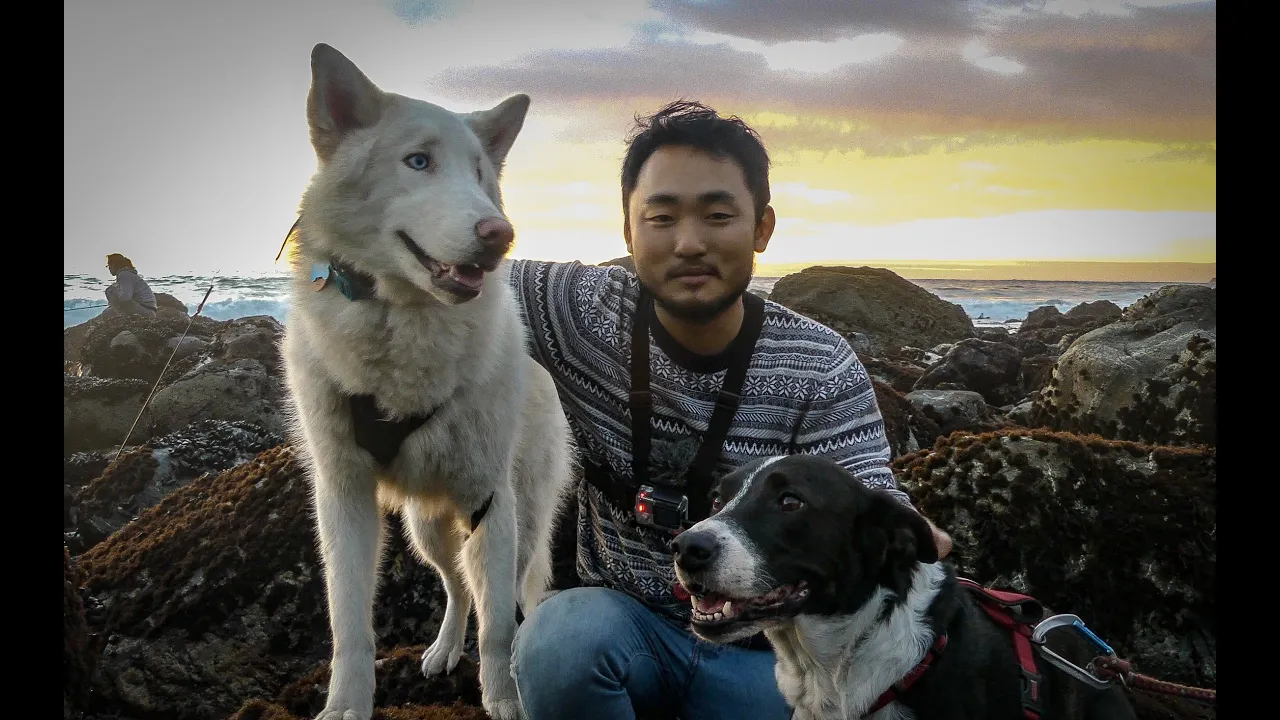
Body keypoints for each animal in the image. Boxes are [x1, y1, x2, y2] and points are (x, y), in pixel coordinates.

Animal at [286, 44, 581, 717]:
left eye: (480, 176)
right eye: (417, 162)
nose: (500, 235)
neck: (406, 321)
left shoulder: (489, 499)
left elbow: (496, 627)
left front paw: (505, 699)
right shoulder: (344, 498)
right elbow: (349, 623)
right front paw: (346, 703)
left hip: (520, 519)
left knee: (502, 596)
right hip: (425, 529)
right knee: (457, 587)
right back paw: (445, 649)